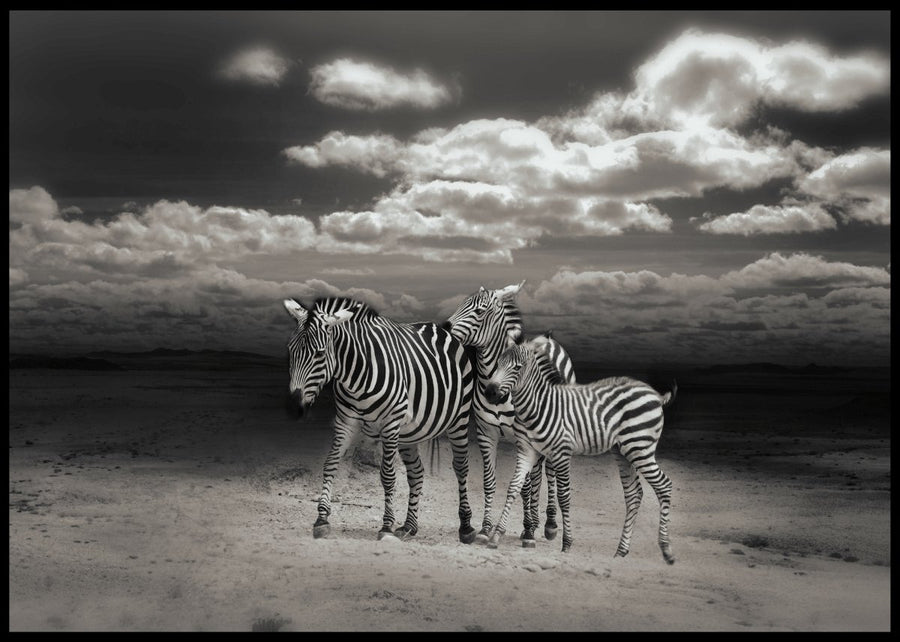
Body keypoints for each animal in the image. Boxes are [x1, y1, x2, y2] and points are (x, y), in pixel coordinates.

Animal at [283, 296, 478, 544]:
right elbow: (330, 464)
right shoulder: (345, 421)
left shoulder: (390, 423)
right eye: (291, 350)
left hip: (458, 419)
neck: (354, 375)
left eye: (319, 354)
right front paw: (322, 520)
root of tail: (442, 329)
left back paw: (466, 527)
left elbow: (387, 476)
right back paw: (409, 527)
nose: (293, 407)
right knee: (416, 473)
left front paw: (386, 526)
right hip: (409, 432)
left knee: (461, 467)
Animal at [442, 282, 576, 547]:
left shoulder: (522, 438)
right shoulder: (486, 434)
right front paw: (486, 528)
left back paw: (548, 525)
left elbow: (524, 486)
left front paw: (528, 531)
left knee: (548, 473)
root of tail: (550, 340)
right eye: (461, 303)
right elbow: (490, 482)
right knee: (538, 475)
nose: (445, 327)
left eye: (480, 311)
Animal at [484, 331, 677, 564]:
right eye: (498, 364)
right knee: (634, 494)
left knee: (664, 486)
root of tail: (655, 394)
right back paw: (621, 551)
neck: (538, 405)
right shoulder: (527, 450)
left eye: (517, 367)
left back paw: (666, 550)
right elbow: (514, 487)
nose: (490, 392)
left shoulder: (561, 453)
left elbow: (564, 497)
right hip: (623, 451)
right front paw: (496, 535)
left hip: (641, 448)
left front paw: (567, 543)